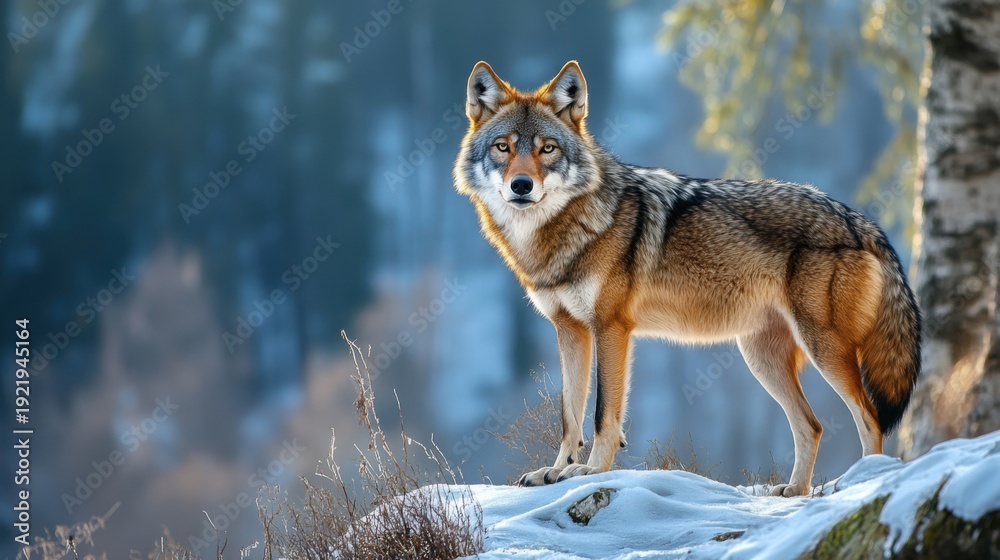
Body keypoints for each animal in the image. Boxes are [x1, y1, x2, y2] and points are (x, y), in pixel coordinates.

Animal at [452, 60, 921, 496]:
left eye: (547, 149)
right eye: (503, 147)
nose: (522, 185)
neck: (566, 230)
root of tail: (859, 219)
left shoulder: (611, 328)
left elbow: (604, 413)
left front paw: (589, 471)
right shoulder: (569, 331)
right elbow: (570, 415)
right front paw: (554, 470)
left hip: (823, 349)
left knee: (870, 419)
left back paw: (866, 483)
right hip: (761, 358)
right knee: (813, 425)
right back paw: (795, 490)